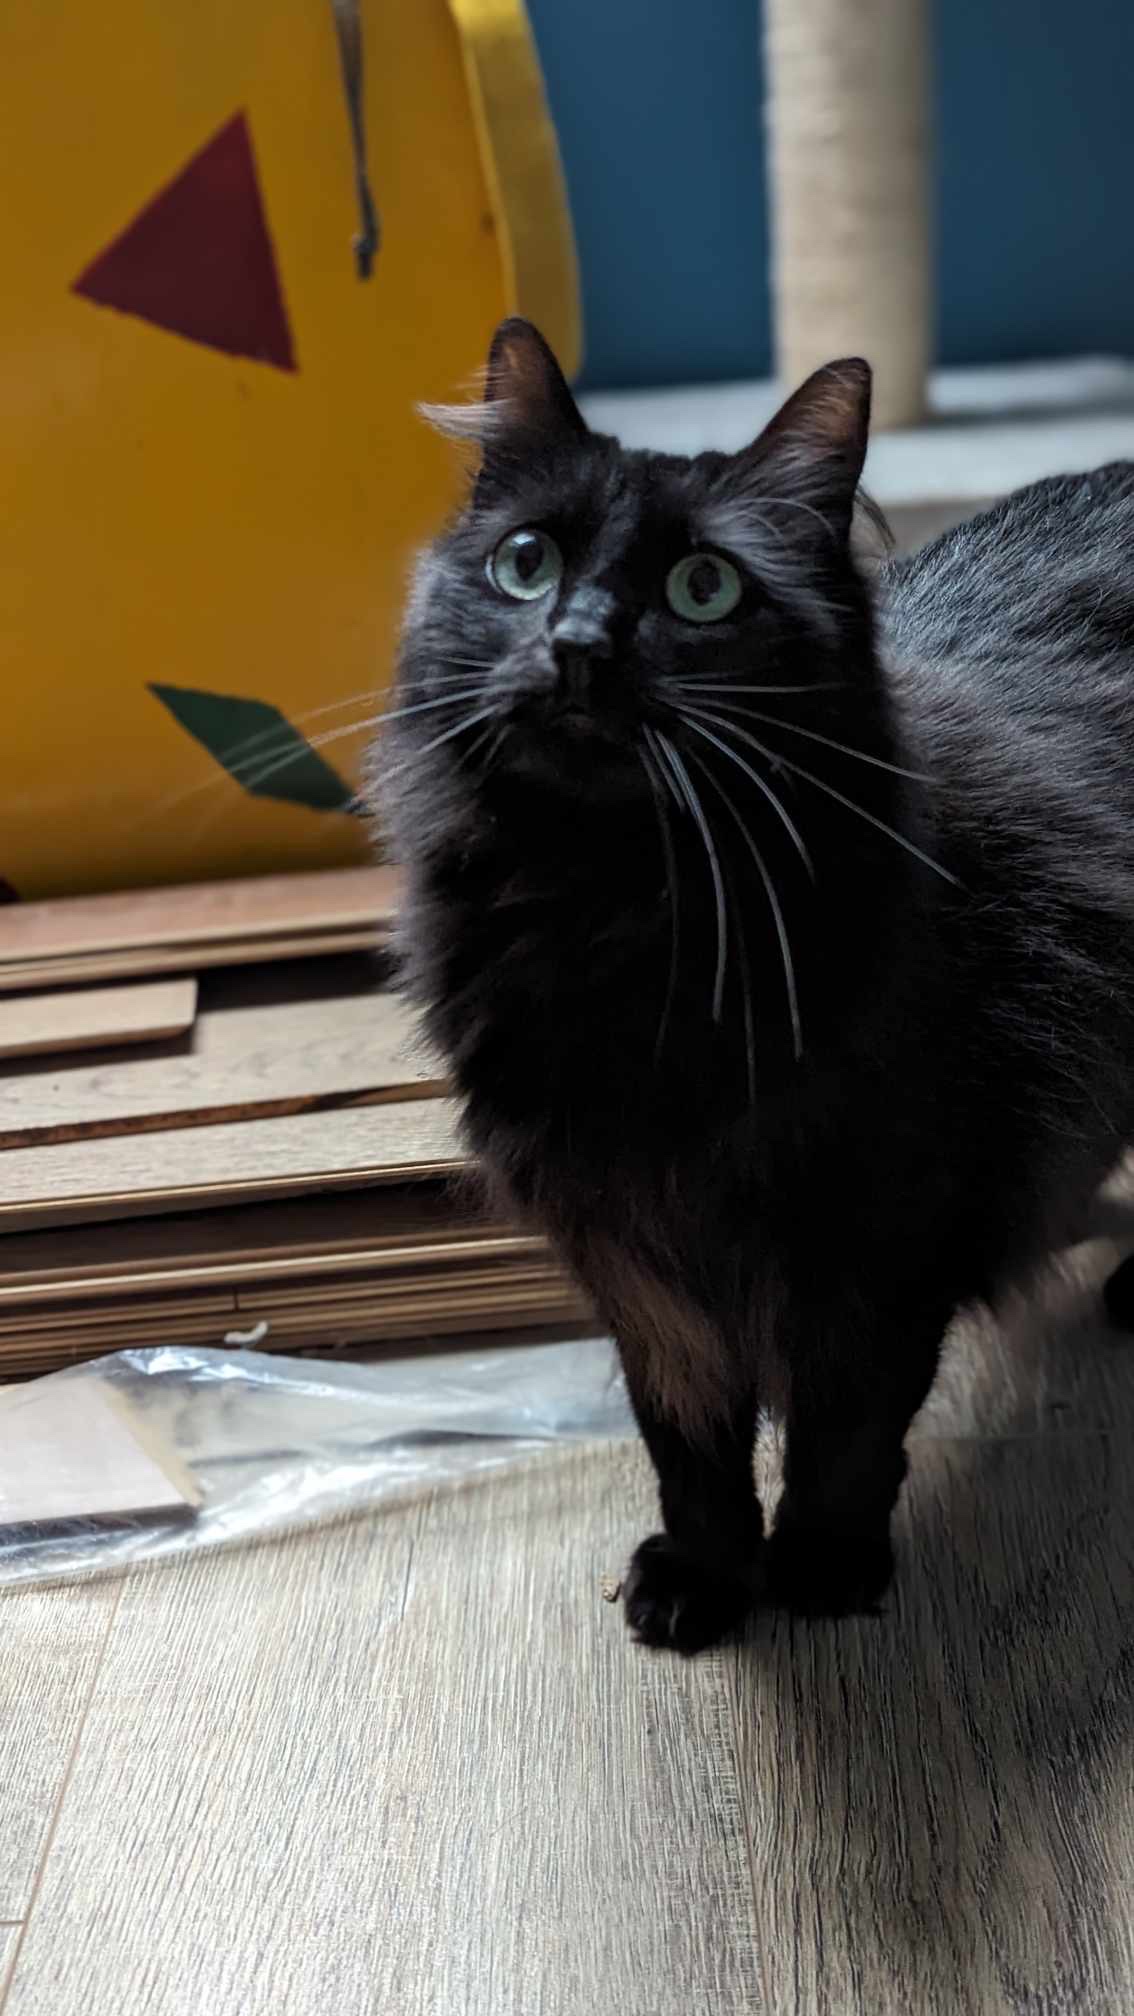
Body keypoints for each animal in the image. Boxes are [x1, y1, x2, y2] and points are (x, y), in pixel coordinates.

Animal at [372, 316, 1134, 1654]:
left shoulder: (884, 1240)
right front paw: (707, 1580)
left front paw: (823, 1568)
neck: (624, 926)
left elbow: (846, 1433)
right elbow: (690, 1444)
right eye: (526, 563)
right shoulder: (632, 1254)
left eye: (704, 588)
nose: (578, 647)